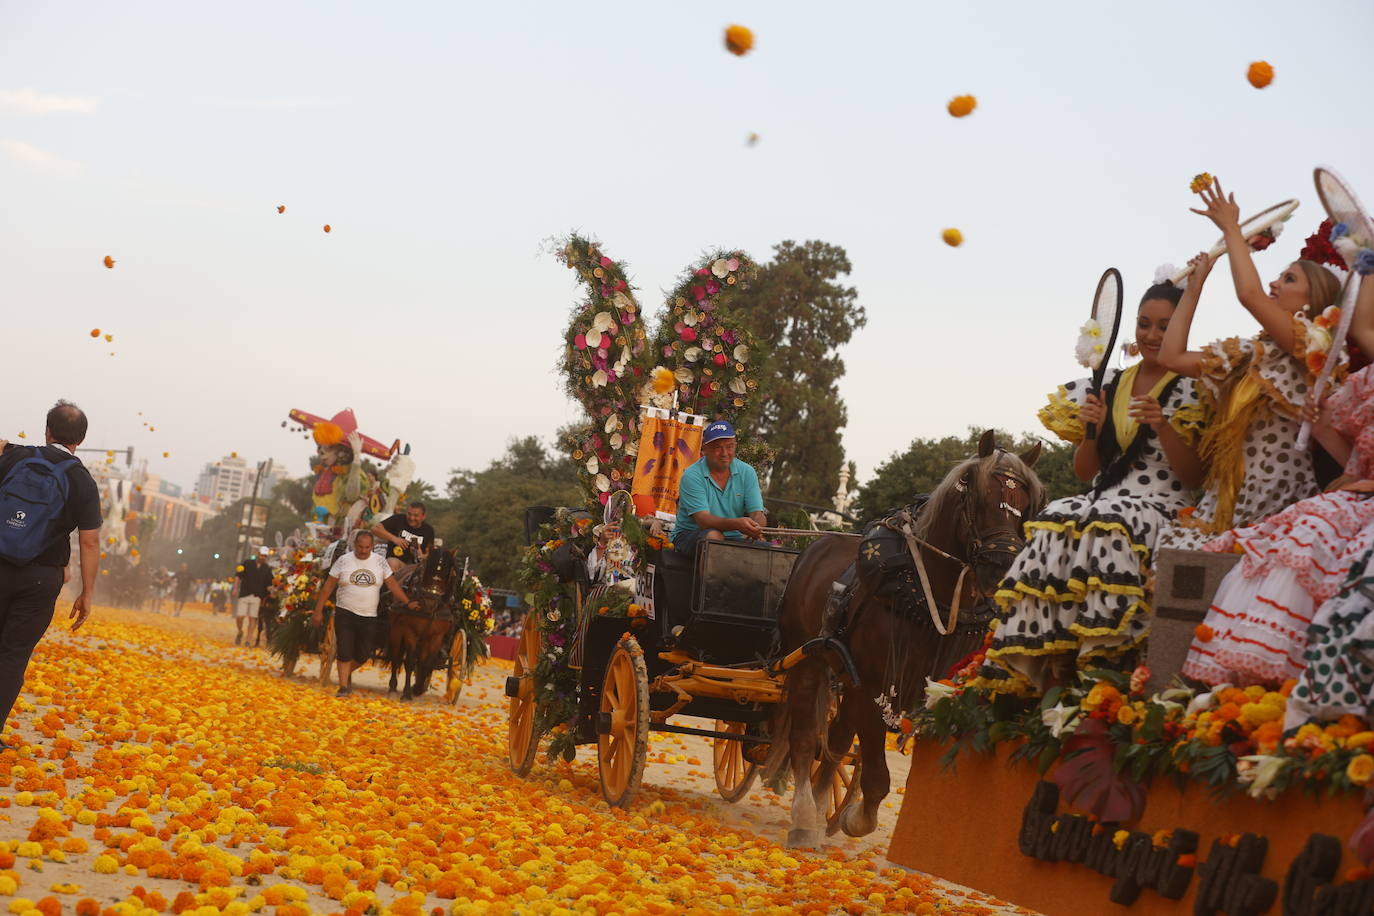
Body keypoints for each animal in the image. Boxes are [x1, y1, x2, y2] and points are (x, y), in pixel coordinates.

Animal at [387, 552, 461, 703]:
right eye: (428, 569)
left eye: (447, 573)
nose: (430, 601)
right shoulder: (410, 631)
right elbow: (409, 662)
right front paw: (407, 693)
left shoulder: (436, 637)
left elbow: (426, 663)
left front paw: (418, 688)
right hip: (396, 630)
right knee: (396, 656)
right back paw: (392, 688)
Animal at [763, 433, 1038, 851]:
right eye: (979, 495)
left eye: (1023, 505)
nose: (1002, 566)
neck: (925, 597)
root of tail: (816, 545)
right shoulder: (874, 687)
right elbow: (876, 776)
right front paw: (856, 818)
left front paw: (847, 814)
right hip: (808, 660)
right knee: (807, 737)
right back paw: (806, 819)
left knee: (836, 742)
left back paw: (823, 806)